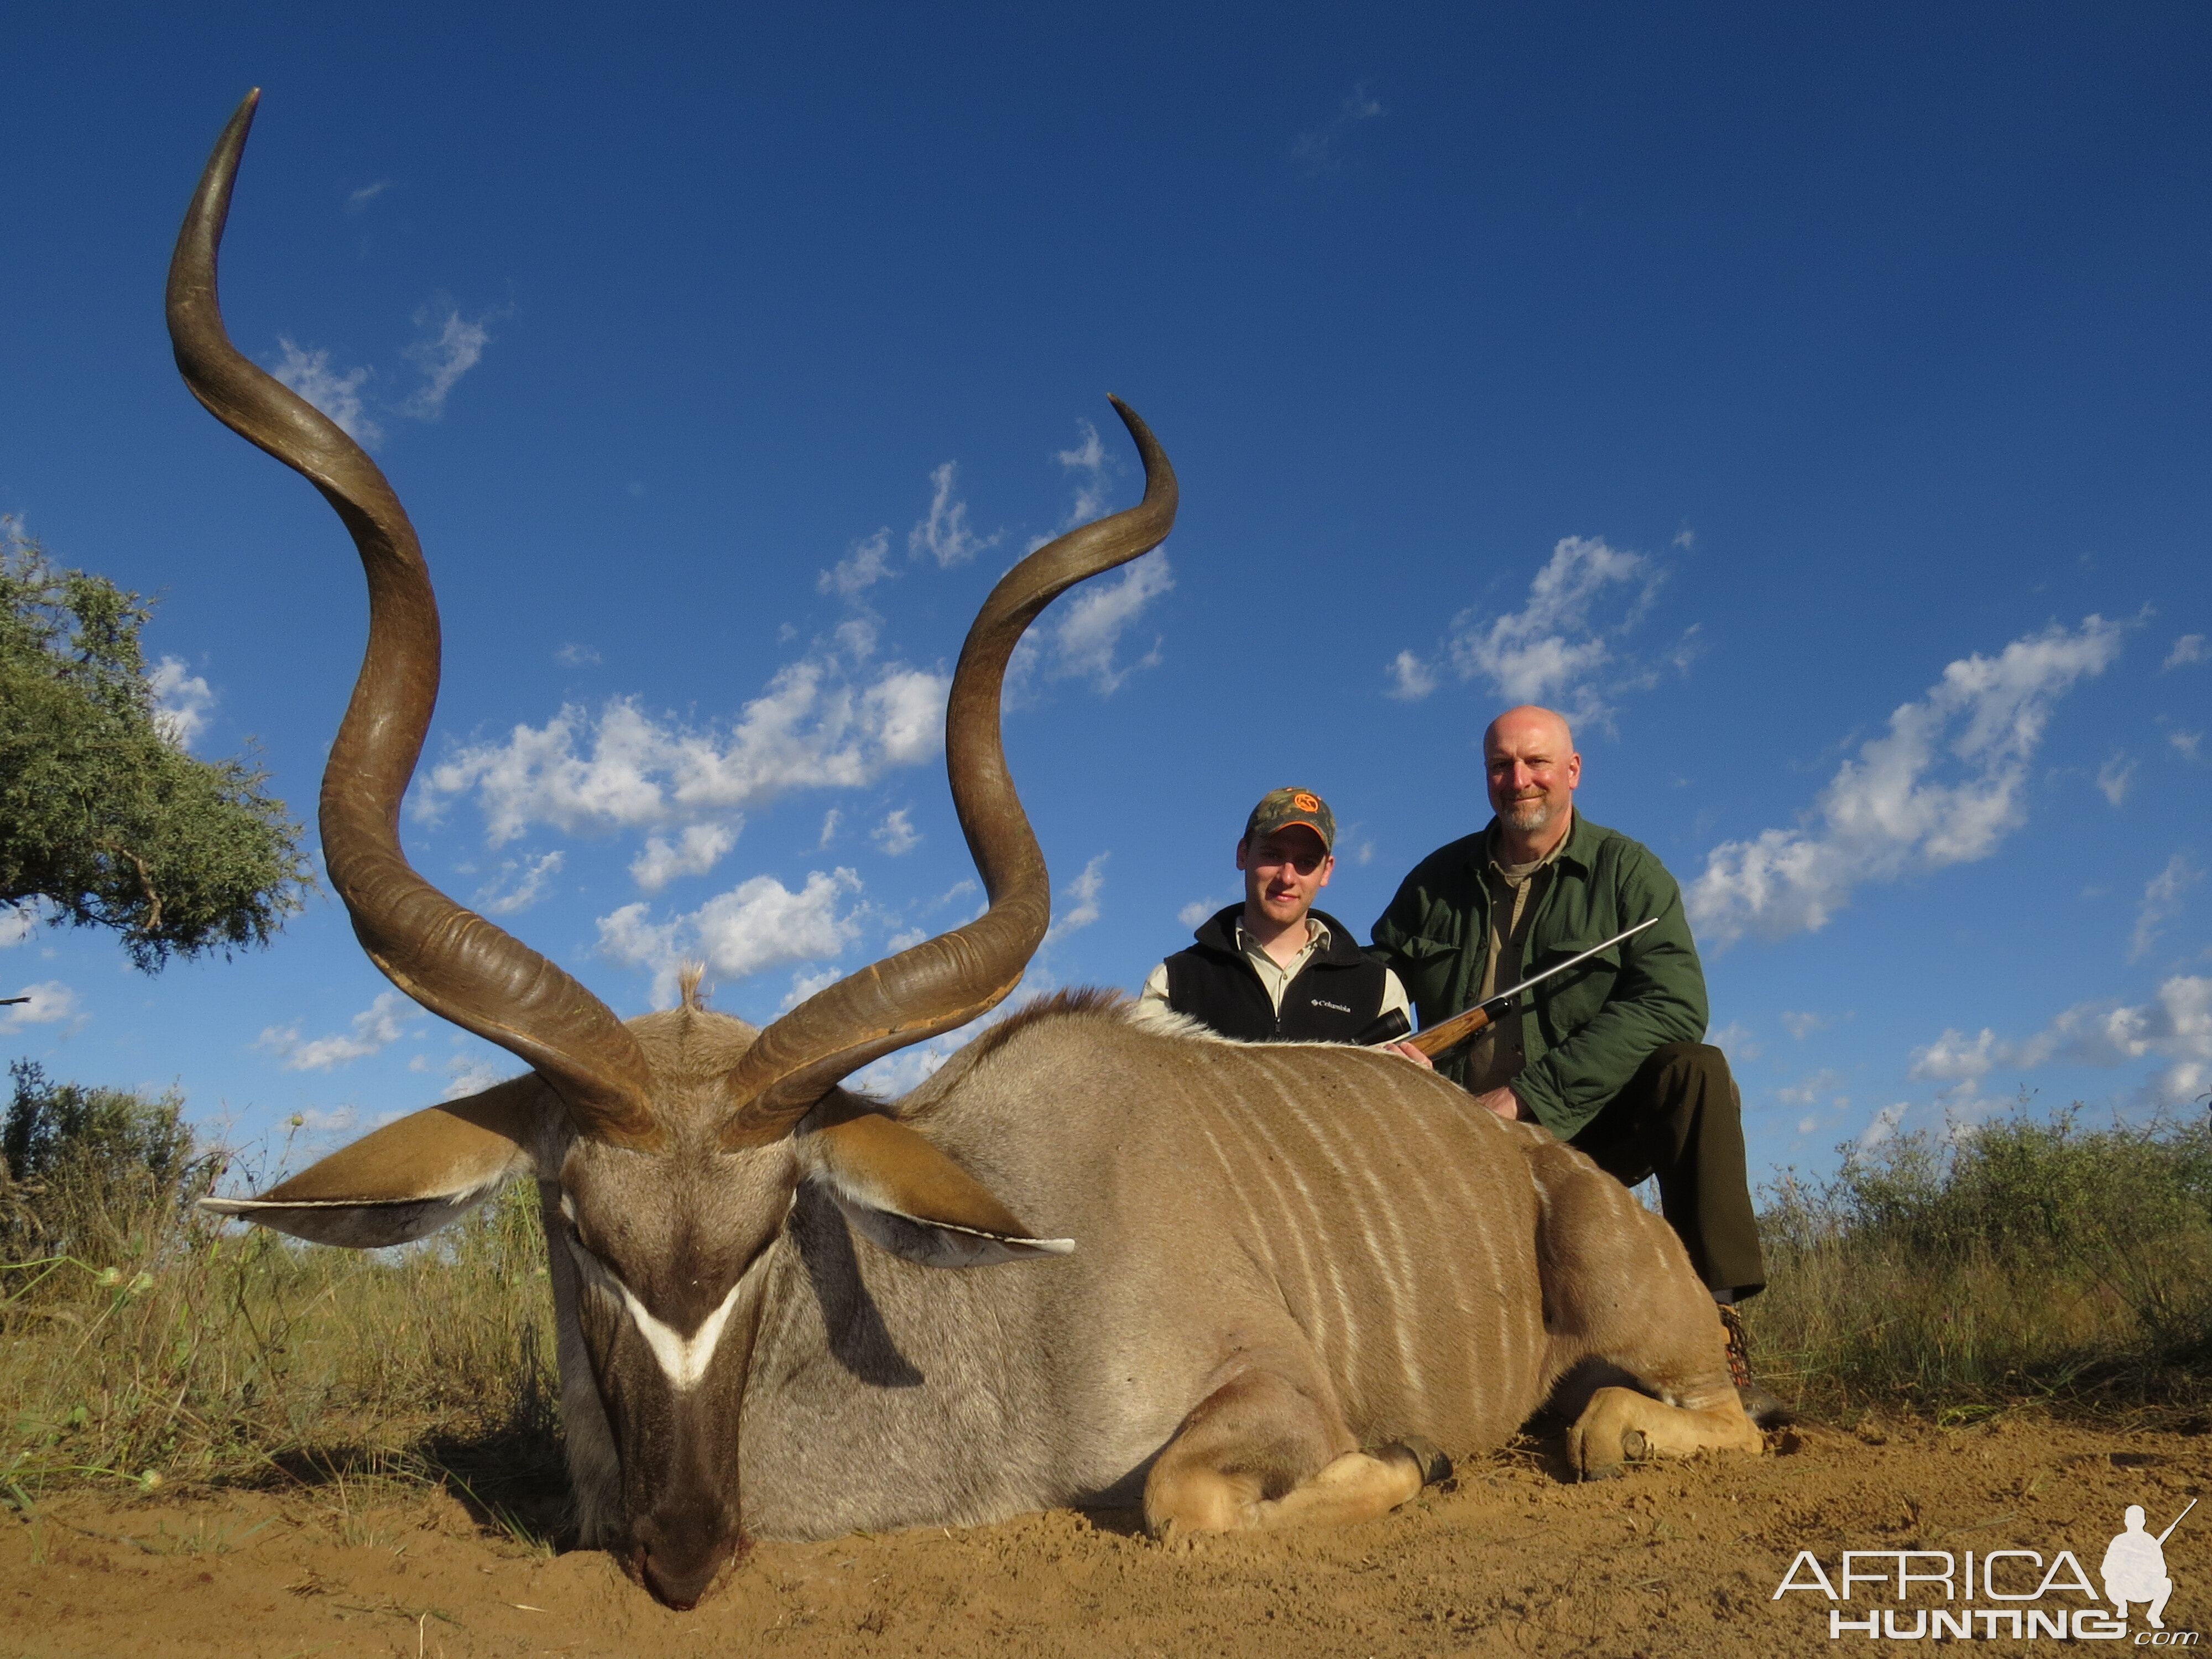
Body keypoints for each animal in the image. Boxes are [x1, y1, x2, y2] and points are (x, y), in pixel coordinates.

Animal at [173, 91, 1761, 1610]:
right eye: (574, 1222)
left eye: (777, 1222)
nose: (685, 1547)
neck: (1001, 1322)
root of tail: (1542, 1168)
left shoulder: (1269, 1391)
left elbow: (1180, 1498)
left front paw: (1413, 1460)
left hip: (1654, 1321)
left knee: (1664, 1418)